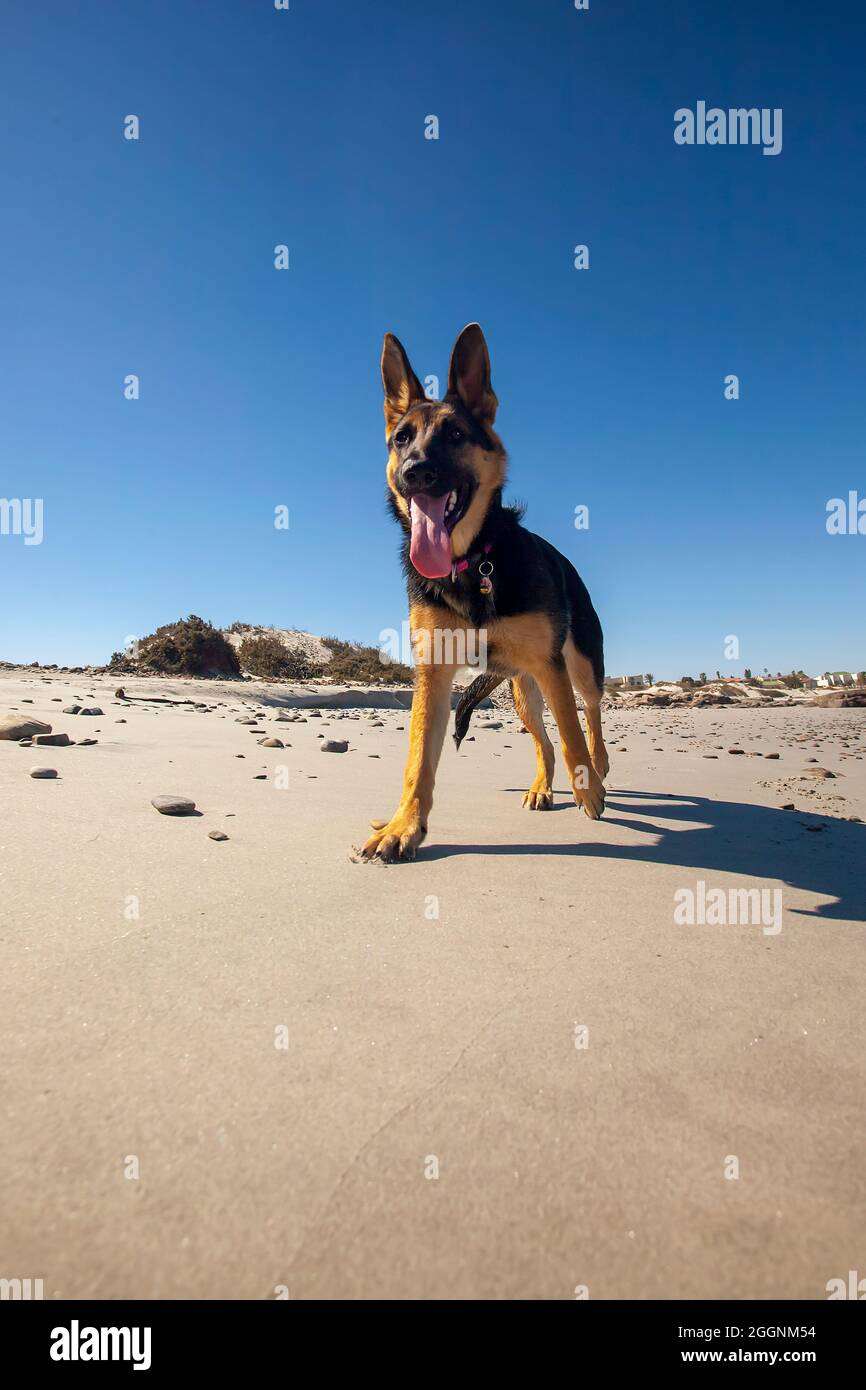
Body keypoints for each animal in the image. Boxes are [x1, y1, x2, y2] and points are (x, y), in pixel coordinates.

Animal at [358, 325, 608, 861]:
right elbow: (418, 761)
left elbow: (572, 730)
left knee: (591, 712)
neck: (472, 561)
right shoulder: (433, 675)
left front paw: (589, 789)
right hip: (523, 692)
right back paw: (541, 787)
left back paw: (598, 768)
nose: (415, 471)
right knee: (543, 740)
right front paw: (403, 826)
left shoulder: (551, 665)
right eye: (402, 438)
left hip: (578, 665)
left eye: (455, 435)